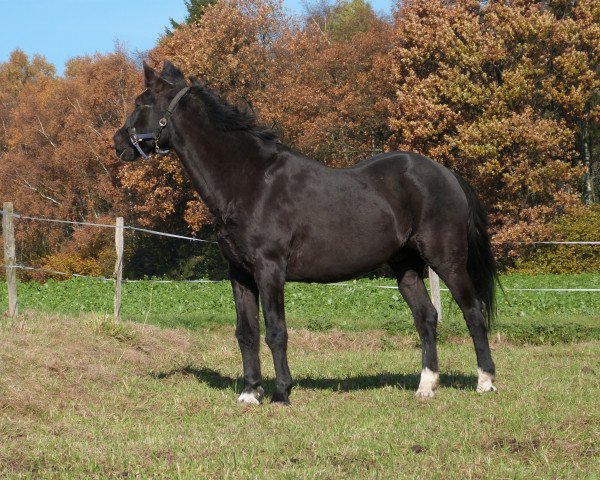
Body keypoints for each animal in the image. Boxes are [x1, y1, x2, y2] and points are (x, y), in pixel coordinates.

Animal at [112, 61, 496, 404]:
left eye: (141, 103)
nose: (118, 142)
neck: (249, 180)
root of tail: (446, 174)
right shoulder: (239, 273)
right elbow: (246, 332)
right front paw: (250, 393)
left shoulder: (270, 269)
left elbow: (275, 331)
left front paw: (282, 393)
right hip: (406, 266)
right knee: (426, 317)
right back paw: (426, 386)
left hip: (447, 260)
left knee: (473, 311)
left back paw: (486, 381)